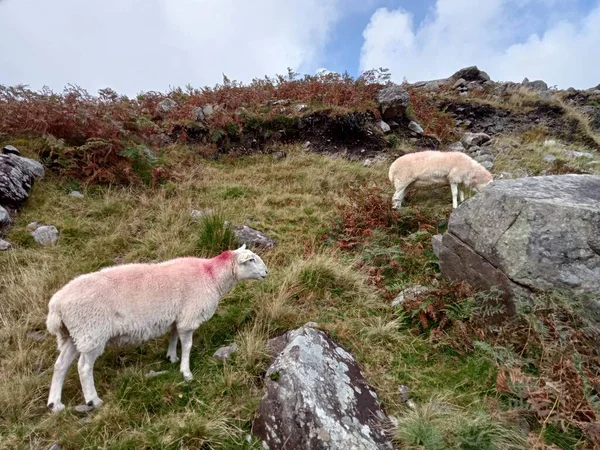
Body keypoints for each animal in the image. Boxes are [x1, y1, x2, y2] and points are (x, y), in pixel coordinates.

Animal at [47, 244, 270, 414]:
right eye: (252, 260)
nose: (267, 273)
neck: (211, 276)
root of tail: (56, 305)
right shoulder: (188, 317)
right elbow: (187, 345)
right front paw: (186, 372)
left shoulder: (176, 316)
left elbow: (173, 336)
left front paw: (171, 357)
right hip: (92, 331)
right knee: (84, 367)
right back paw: (93, 400)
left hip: (75, 335)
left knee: (60, 365)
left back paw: (55, 404)